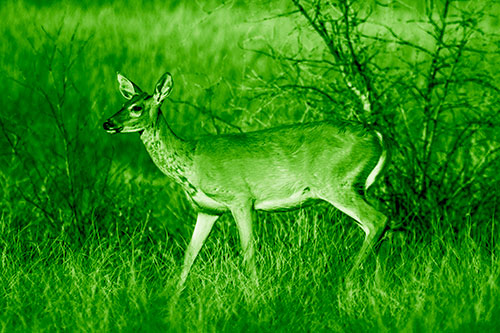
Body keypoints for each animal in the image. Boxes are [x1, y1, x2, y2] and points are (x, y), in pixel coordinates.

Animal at [102, 70, 390, 288]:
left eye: (136, 107)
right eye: (122, 103)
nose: (107, 123)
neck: (189, 163)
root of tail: (377, 136)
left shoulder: (240, 197)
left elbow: (248, 251)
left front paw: (254, 293)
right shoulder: (207, 209)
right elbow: (189, 255)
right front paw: (172, 298)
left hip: (337, 183)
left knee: (378, 220)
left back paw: (347, 281)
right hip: (354, 186)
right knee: (376, 227)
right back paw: (372, 286)